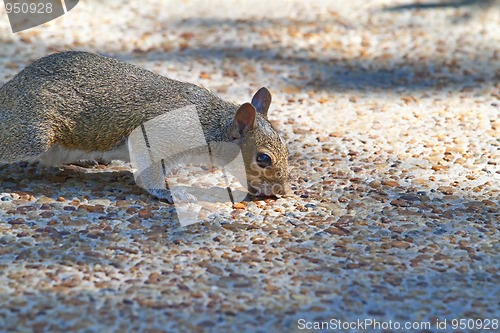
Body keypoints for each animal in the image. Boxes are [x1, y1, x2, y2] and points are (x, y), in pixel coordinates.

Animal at [0, 50, 292, 198]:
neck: (210, 125)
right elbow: (148, 175)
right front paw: (167, 192)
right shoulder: (155, 136)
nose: (282, 192)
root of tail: (7, 92)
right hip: (33, 134)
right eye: (263, 158)